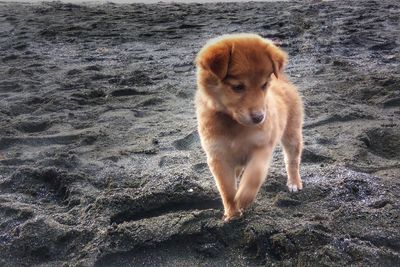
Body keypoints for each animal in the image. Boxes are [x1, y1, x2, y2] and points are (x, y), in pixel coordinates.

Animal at [194, 33, 304, 222]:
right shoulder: (218, 156)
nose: (259, 118)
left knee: (292, 160)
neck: (234, 124)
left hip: (292, 133)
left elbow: (254, 175)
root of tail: (283, 79)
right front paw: (232, 212)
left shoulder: (262, 145)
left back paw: (294, 182)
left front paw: (243, 198)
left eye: (264, 85)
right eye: (238, 87)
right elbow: (226, 189)